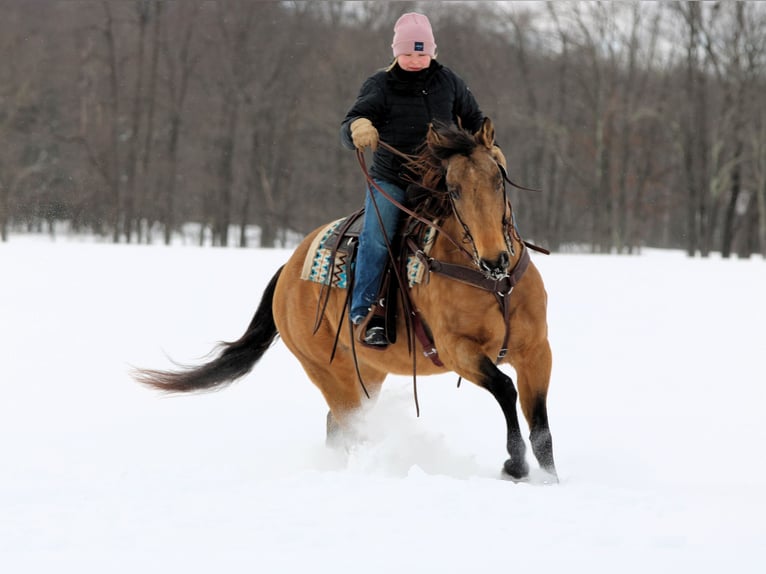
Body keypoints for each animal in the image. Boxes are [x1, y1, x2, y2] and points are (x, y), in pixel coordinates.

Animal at [133, 118, 557, 482]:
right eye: (453, 190)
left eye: (498, 180)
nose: (495, 257)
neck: (492, 284)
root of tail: (288, 270)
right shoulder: (458, 350)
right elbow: (505, 388)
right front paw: (514, 465)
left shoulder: (536, 350)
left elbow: (540, 425)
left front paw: (550, 479)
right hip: (328, 371)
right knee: (349, 425)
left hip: (367, 372)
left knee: (337, 425)